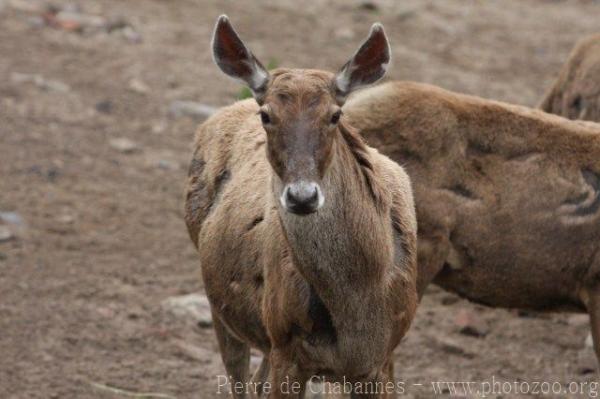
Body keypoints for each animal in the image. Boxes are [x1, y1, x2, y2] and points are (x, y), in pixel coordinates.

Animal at [186, 14, 418, 396]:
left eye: (335, 115)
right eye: (267, 115)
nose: (302, 196)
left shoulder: (384, 358)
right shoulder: (287, 343)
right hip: (225, 308)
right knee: (241, 381)